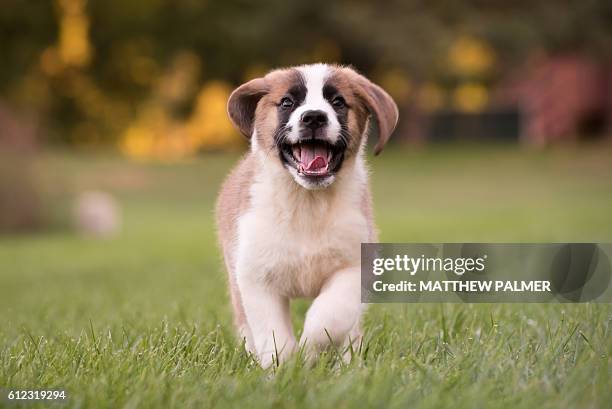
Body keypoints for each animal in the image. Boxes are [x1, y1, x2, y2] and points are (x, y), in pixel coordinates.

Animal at [215, 63, 396, 366]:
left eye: (338, 102)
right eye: (288, 102)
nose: (313, 117)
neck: (307, 204)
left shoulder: (354, 266)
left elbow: (330, 317)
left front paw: (310, 350)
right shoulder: (255, 275)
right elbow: (272, 333)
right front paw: (284, 366)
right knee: (245, 326)